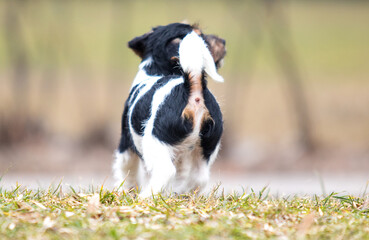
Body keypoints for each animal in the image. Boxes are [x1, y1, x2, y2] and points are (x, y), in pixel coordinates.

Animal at [113, 23, 226, 197]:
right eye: (205, 38)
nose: (224, 41)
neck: (157, 69)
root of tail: (191, 89)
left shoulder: (125, 144)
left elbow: (126, 171)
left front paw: (125, 191)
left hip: (155, 142)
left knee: (165, 172)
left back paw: (146, 196)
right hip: (205, 149)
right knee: (199, 177)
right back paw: (182, 193)